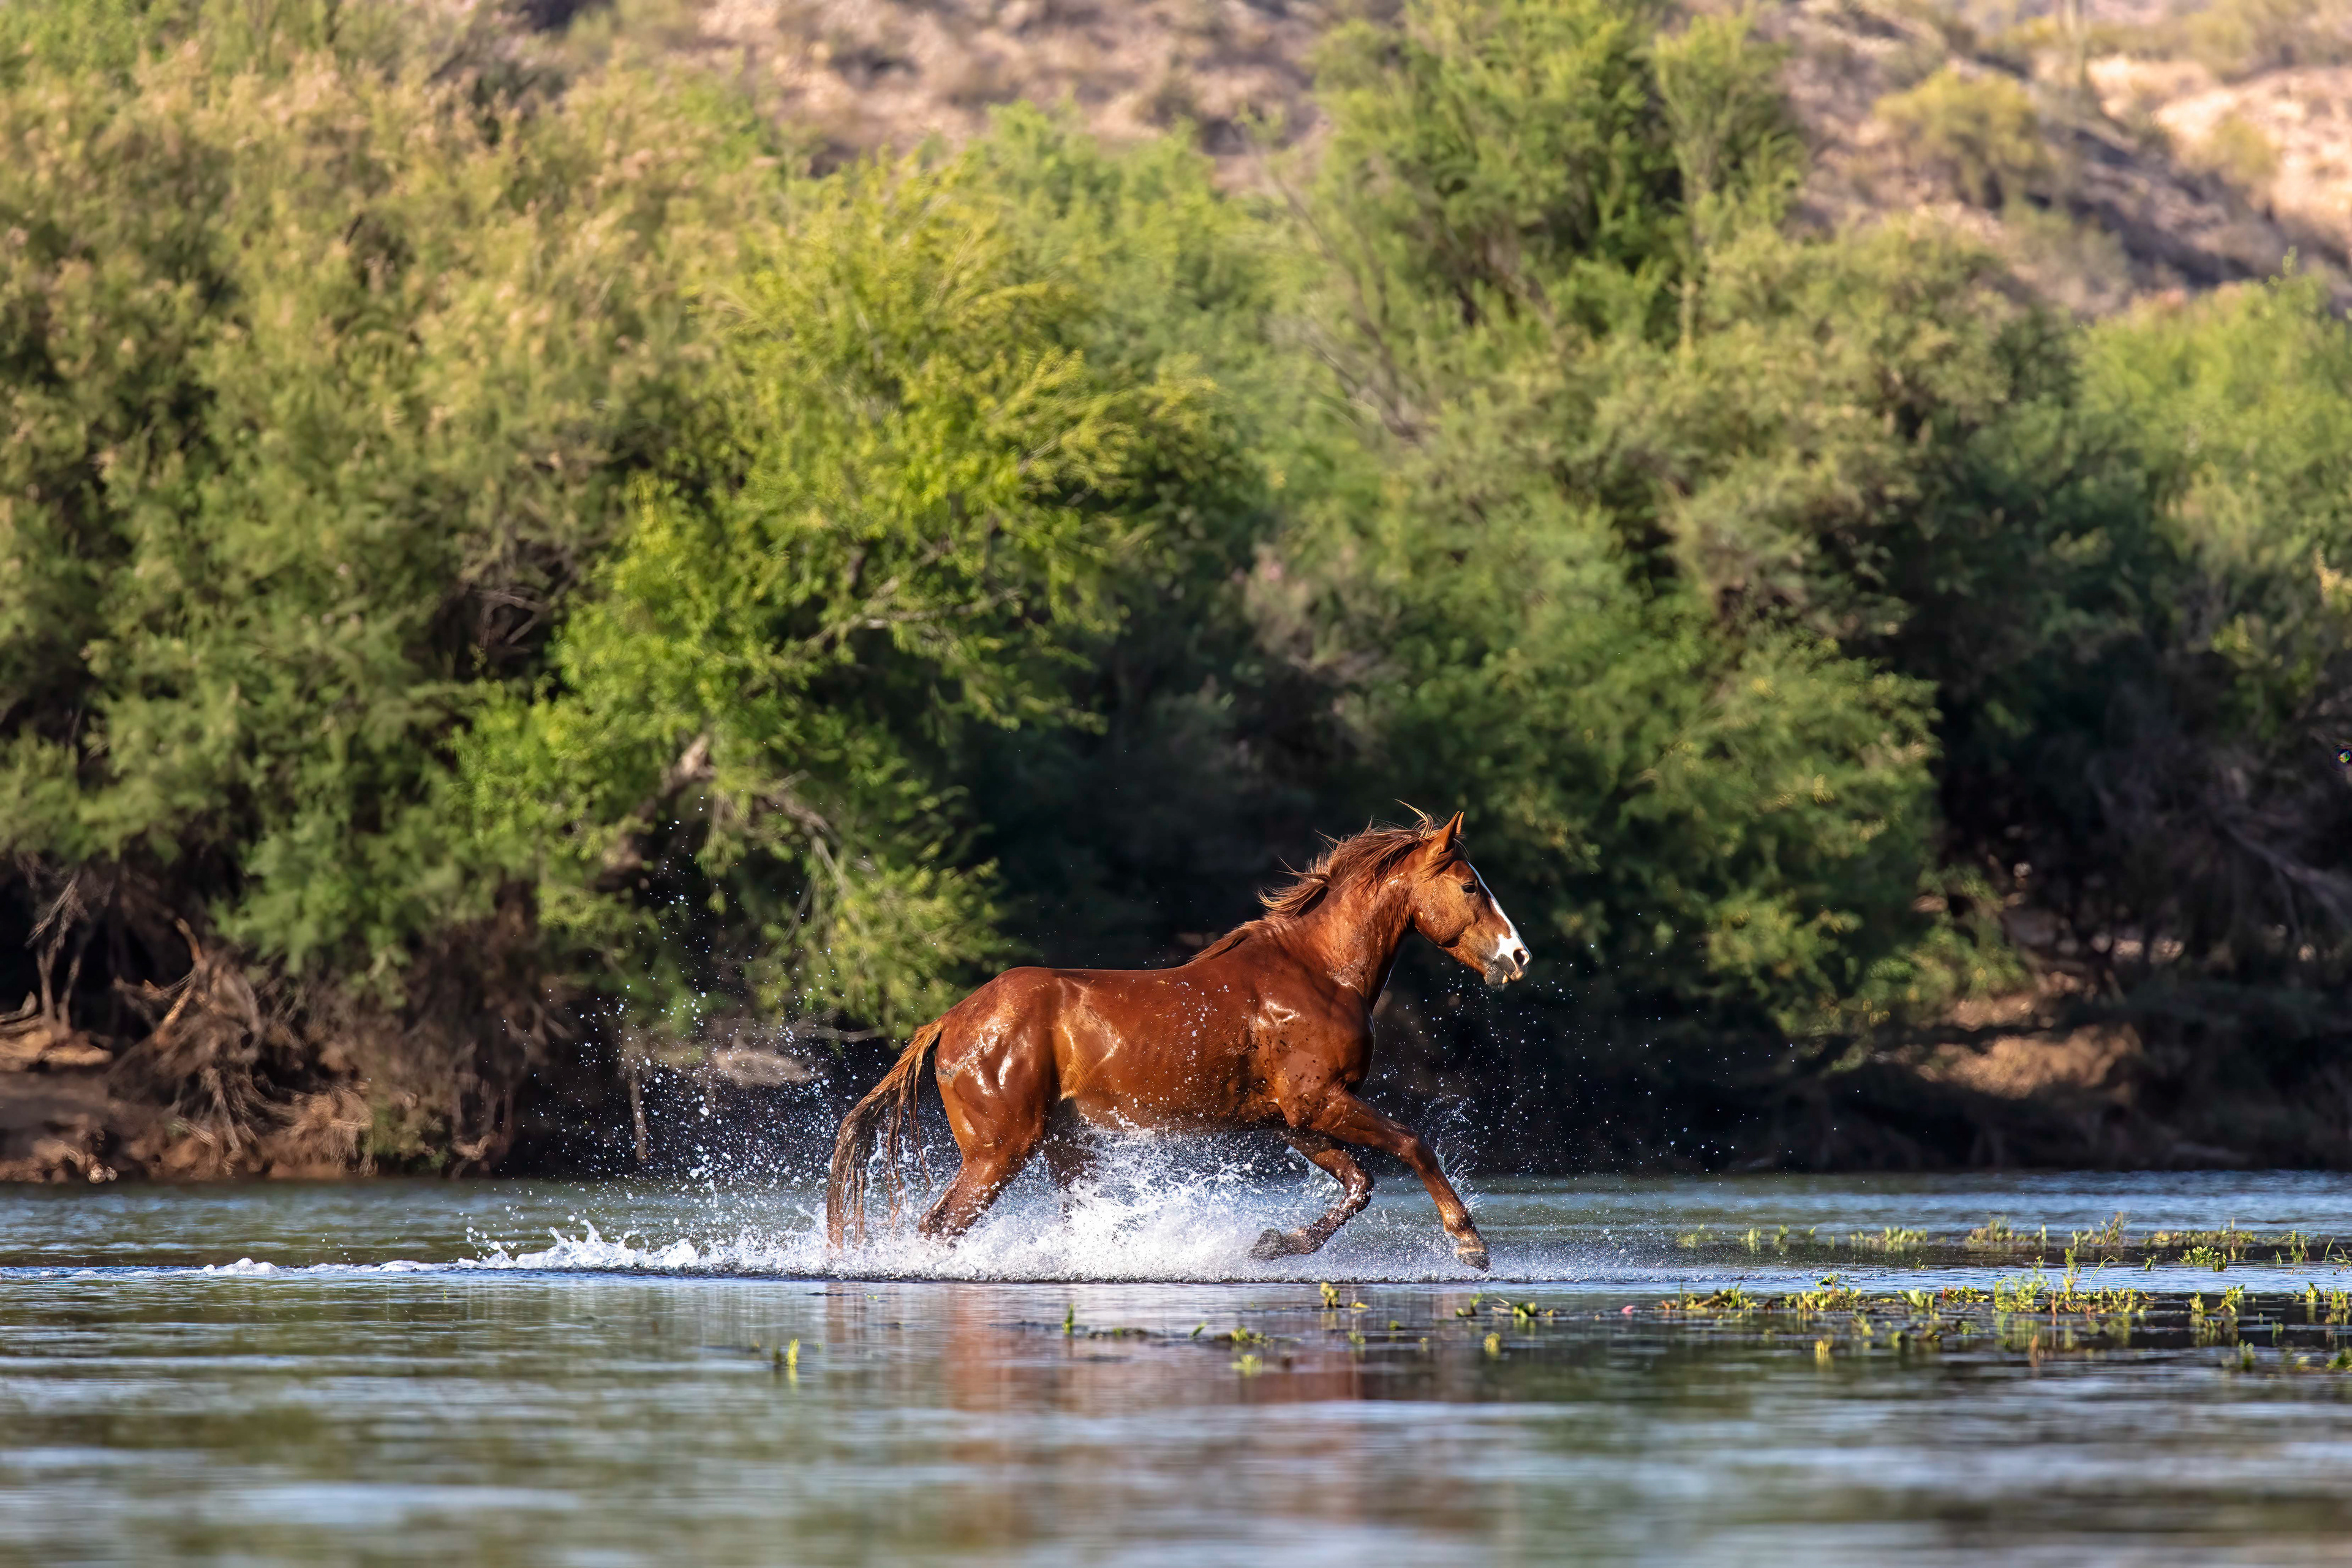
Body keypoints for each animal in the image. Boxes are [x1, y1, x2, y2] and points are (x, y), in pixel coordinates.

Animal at [824, 812, 1531, 1270]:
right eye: (1470, 885)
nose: (1518, 956)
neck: (1320, 972)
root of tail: (950, 1020)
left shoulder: (1298, 1120)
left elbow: (1359, 1184)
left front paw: (1275, 1243)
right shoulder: (1319, 1103)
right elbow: (1414, 1145)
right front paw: (1470, 1242)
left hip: (1062, 1144)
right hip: (999, 1152)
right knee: (939, 1227)